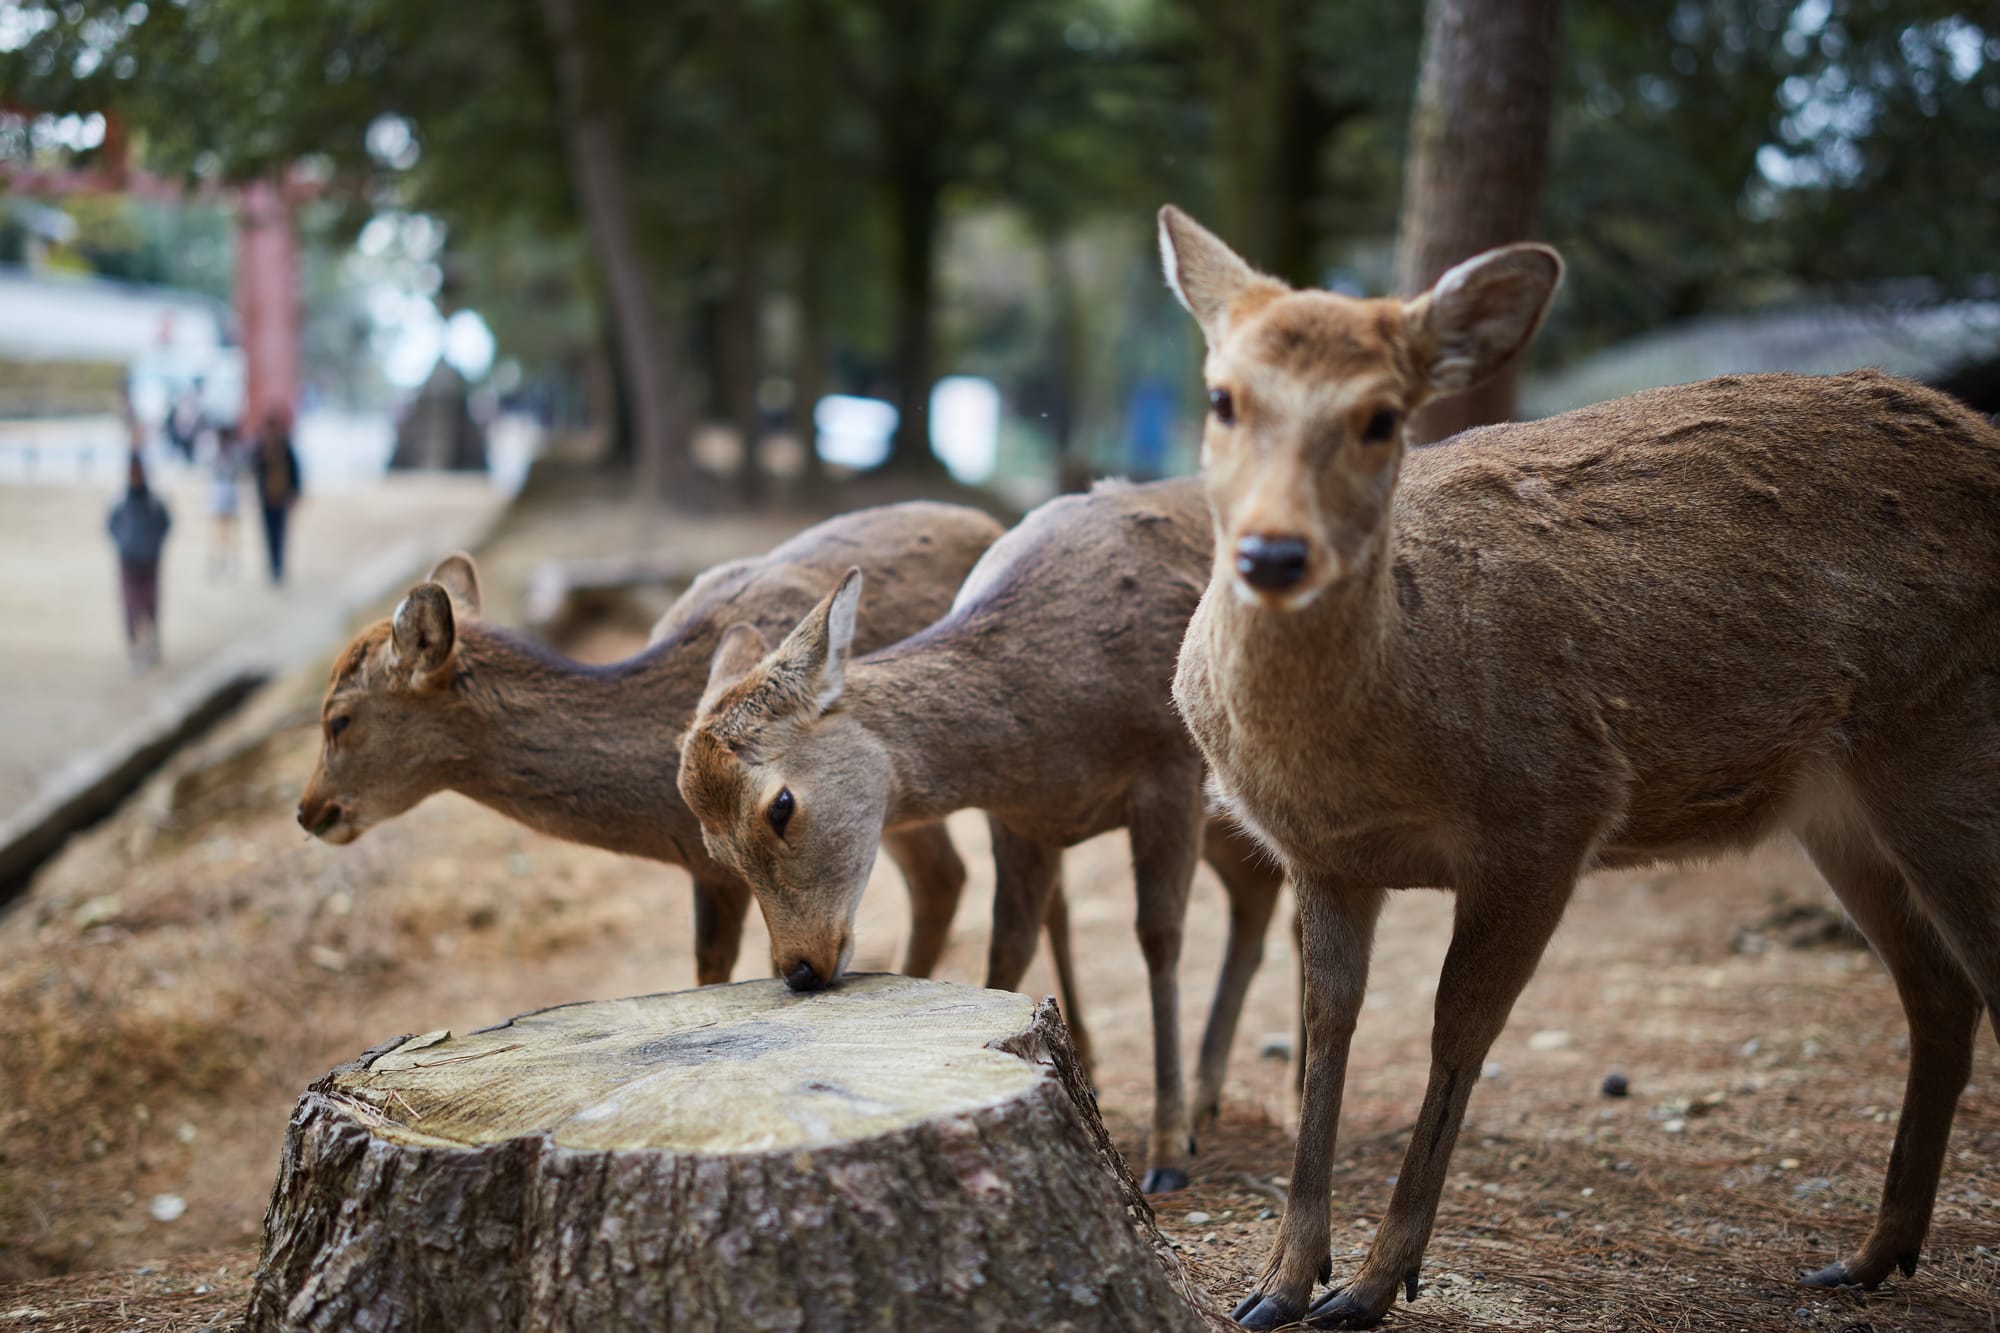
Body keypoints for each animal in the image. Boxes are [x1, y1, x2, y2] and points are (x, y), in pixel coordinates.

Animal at [680, 480, 1288, 1192]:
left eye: (780, 805)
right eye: (714, 848)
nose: (799, 969)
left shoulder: (1169, 770)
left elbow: (1159, 938)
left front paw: (1166, 1154)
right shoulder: (1020, 820)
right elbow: (1009, 948)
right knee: (1257, 886)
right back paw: (1211, 1098)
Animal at [1160, 202, 2000, 1320]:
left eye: (1382, 415)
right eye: (1222, 395)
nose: (1272, 552)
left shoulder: (1548, 812)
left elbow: (1456, 1028)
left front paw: (1377, 1281)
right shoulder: (1321, 857)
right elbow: (1323, 1027)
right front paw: (1281, 1280)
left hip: (1948, 747)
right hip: (1839, 805)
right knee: (1941, 993)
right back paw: (1866, 1255)